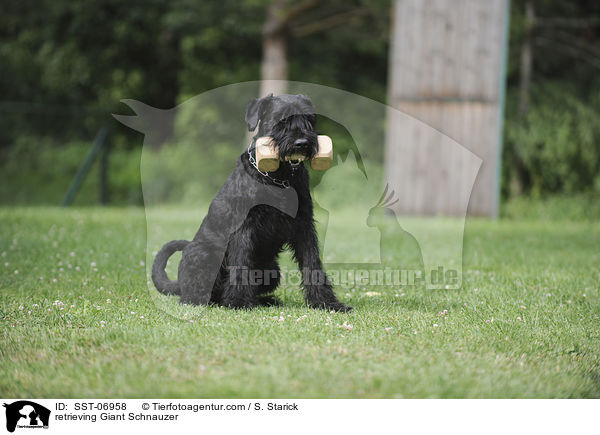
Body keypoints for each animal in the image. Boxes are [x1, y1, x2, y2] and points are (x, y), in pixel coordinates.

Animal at [151, 93, 352, 312]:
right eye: (281, 120)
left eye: (308, 119)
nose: (301, 143)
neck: (280, 178)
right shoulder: (244, 228)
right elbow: (241, 263)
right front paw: (238, 301)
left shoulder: (304, 226)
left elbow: (312, 262)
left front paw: (326, 302)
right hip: (203, 256)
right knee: (194, 296)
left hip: (272, 270)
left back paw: (265, 300)